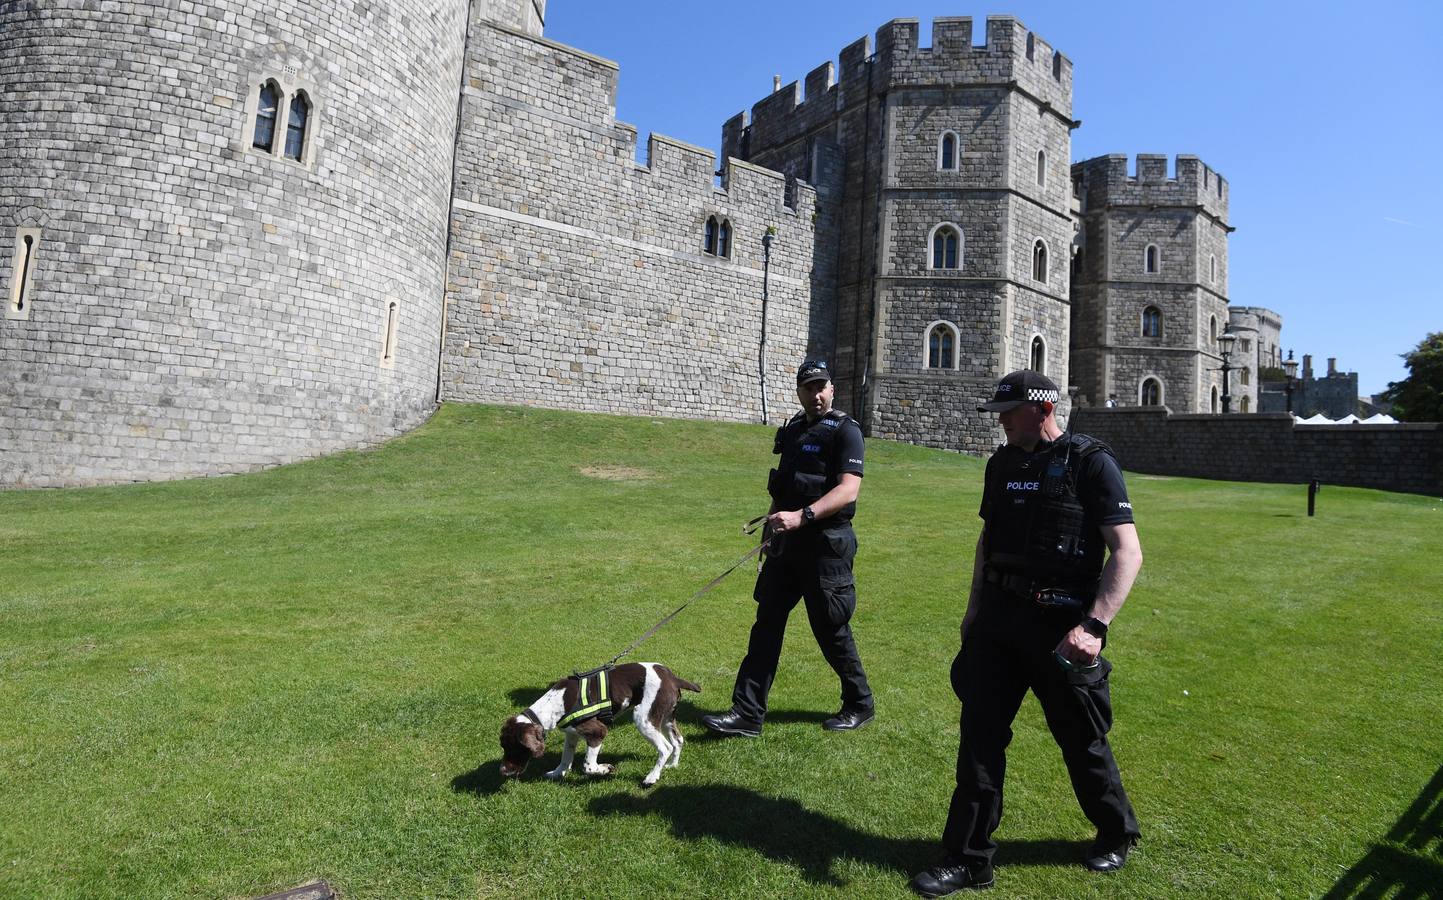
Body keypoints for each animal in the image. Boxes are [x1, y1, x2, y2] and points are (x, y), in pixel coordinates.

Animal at [499, 660, 701, 784]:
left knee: (665, 747)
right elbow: (565, 759)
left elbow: (588, 766)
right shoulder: (571, 735)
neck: (556, 702)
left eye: (514, 748)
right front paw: (557, 773)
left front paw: (605, 769)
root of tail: (673, 677)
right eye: (504, 747)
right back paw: (672, 765)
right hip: (666, 718)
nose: (502, 770)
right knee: (678, 741)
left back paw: (652, 777)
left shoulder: (598, 732)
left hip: (645, 719)